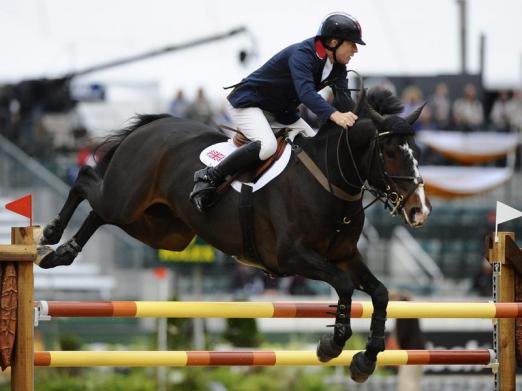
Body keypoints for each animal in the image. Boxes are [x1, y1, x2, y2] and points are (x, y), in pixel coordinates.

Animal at [36, 87, 430, 384]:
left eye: (418, 152)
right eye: (390, 152)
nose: (419, 211)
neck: (330, 182)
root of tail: (156, 124)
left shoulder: (345, 256)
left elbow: (380, 293)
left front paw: (367, 358)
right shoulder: (293, 257)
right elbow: (345, 287)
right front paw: (331, 345)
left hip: (161, 229)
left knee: (99, 213)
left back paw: (63, 252)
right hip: (128, 201)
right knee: (87, 180)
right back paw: (49, 238)